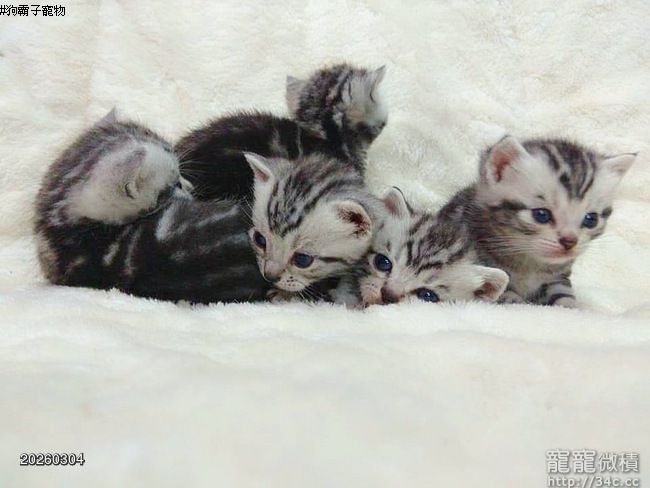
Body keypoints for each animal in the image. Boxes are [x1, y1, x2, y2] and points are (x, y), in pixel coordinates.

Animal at [442, 136, 636, 307]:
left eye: (591, 219)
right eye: (541, 215)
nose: (569, 241)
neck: (529, 262)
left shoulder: (558, 276)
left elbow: (563, 294)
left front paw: (572, 306)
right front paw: (511, 298)